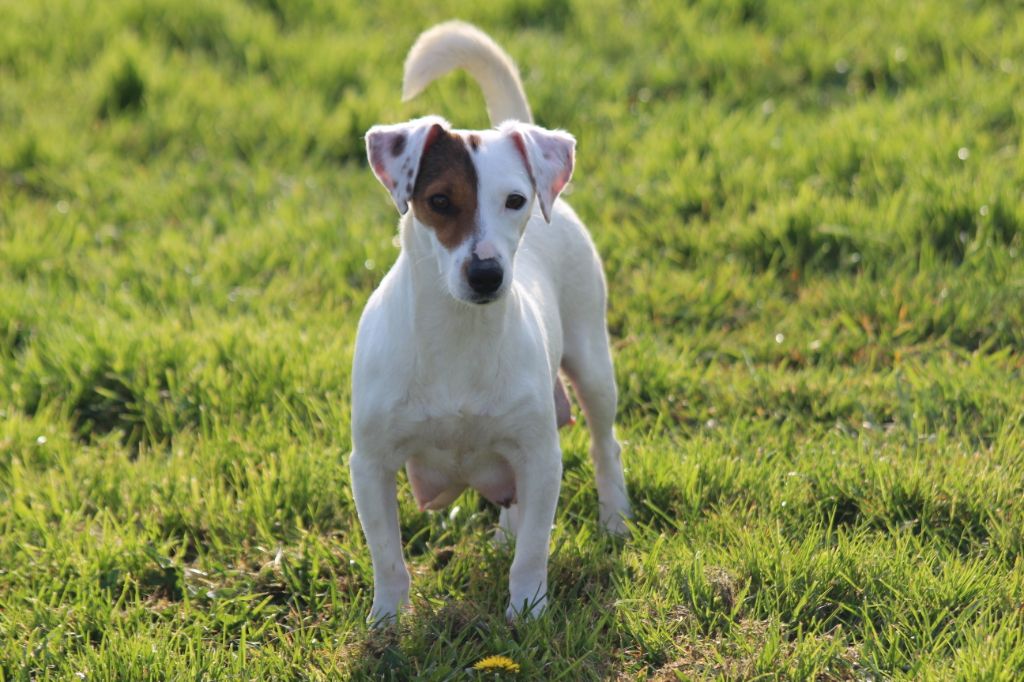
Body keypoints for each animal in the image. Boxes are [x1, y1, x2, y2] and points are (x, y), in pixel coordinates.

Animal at [350, 19, 630, 622]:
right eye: (438, 201)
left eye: (515, 201)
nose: (486, 274)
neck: (458, 338)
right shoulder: (371, 464)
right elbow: (387, 555)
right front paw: (387, 620)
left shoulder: (540, 455)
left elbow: (535, 550)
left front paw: (527, 609)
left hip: (592, 363)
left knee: (604, 443)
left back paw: (615, 517)